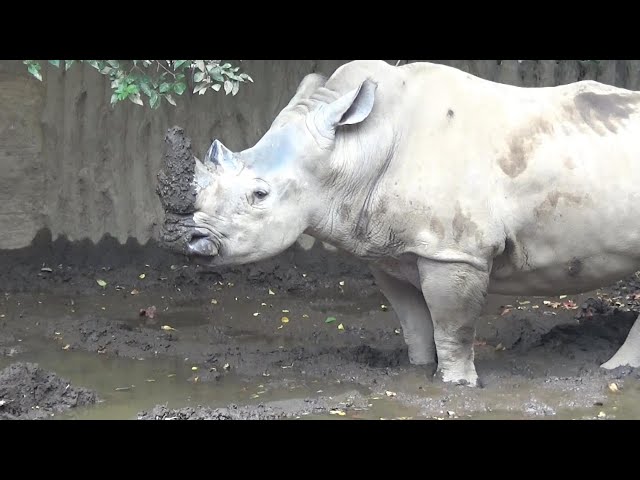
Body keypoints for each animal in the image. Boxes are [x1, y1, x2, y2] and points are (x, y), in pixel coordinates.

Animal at [156, 60, 640, 386]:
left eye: (260, 195)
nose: (182, 239)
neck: (355, 149)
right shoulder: (387, 248)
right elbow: (413, 319)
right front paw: (419, 369)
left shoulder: (454, 251)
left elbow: (452, 323)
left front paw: (456, 384)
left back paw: (614, 371)